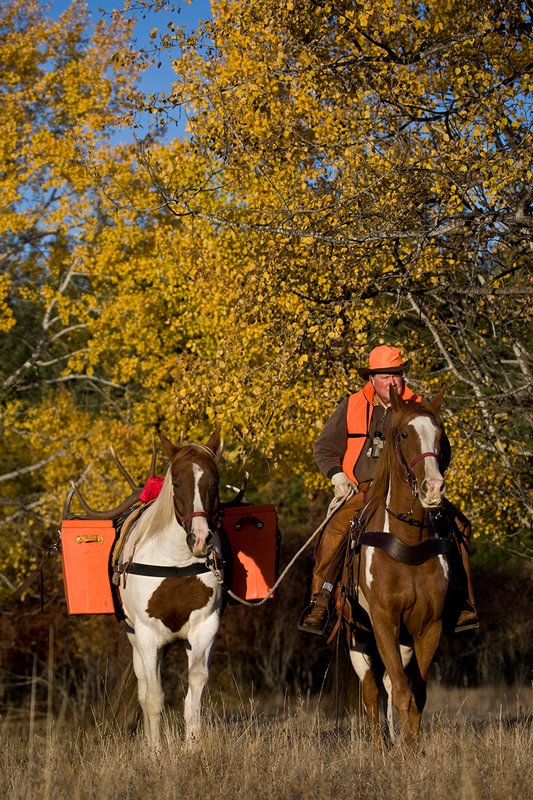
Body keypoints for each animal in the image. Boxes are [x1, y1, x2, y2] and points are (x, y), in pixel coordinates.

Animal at [340, 388, 452, 746]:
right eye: (404, 434)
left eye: (440, 435)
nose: (433, 488)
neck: (409, 543)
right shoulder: (383, 622)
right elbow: (401, 693)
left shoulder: (429, 627)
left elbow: (416, 695)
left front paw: (411, 748)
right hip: (358, 637)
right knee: (372, 690)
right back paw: (379, 745)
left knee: (389, 683)